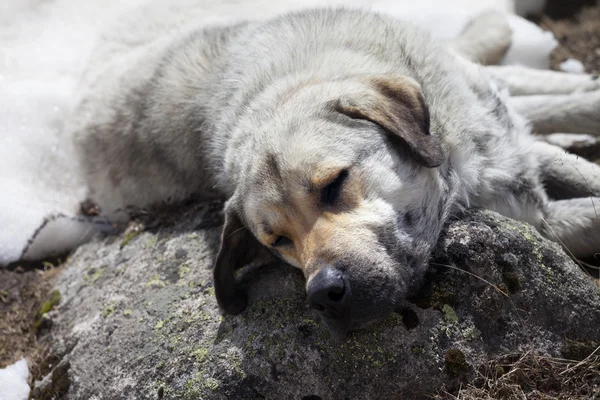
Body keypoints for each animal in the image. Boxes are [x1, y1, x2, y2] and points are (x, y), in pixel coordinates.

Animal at [68, 3, 600, 332]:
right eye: (276, 242)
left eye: (335, 184)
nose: (324, 293)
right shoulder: (531, 207)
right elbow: (579, 209)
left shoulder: (504, 144)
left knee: (518, 83)